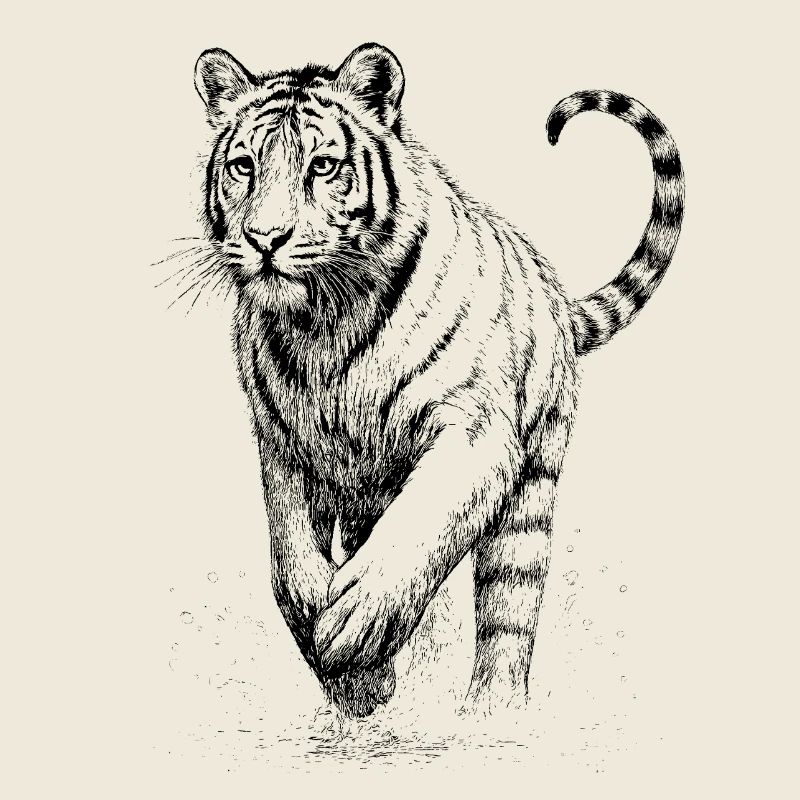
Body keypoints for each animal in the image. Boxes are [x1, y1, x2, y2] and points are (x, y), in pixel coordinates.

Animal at [187, 42, 684, 718]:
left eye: (322, 166)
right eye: (243, 167)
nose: (264, 239)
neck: (323, 323)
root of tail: (557, 297)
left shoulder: (474, 432)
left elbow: (420, 526)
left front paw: (354, 625)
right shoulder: (283, 442)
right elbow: (289, 557)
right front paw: (348, 672)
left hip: (531, 493)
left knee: (508, 610)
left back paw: (491, 714)